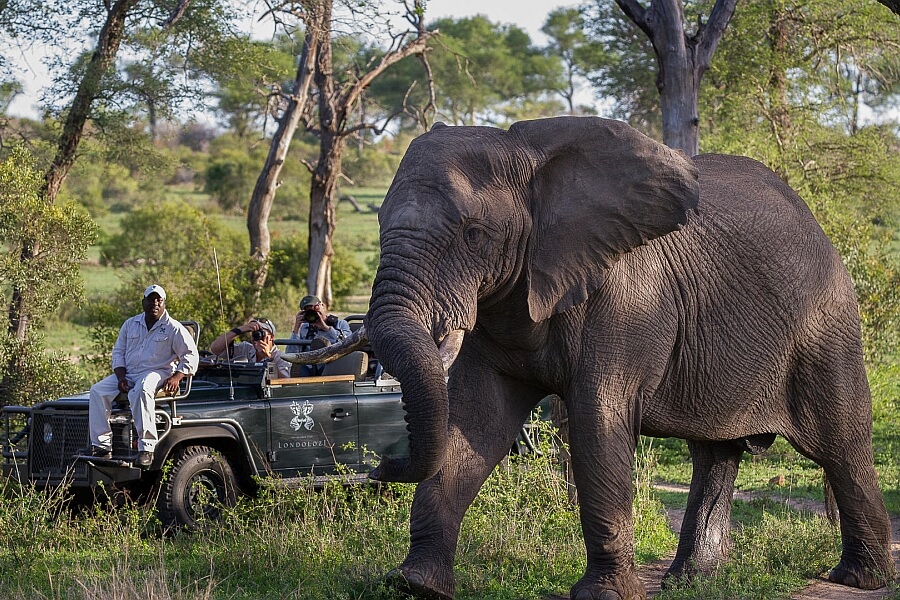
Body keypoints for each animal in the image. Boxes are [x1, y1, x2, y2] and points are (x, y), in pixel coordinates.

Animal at [288, 116, 894, 600]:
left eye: (474, 233)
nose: (378, 467)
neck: (529, 156)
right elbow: (475, 422)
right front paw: (416, 585)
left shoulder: (625, 301)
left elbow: (597, 422)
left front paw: (602, 595)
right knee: (715, 453)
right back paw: (688, 581)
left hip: (826, 323)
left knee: (841, 443)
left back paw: (859, 579)